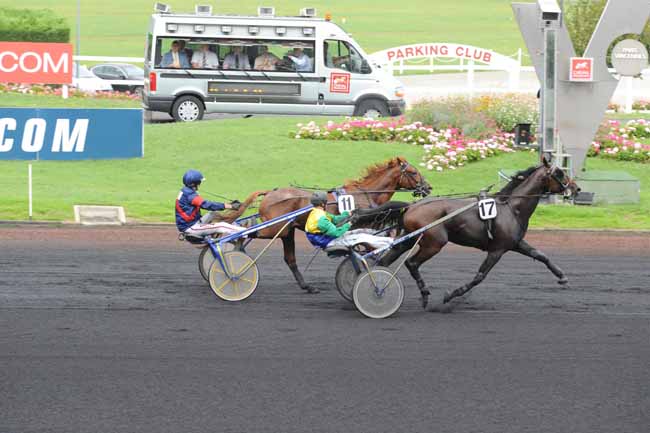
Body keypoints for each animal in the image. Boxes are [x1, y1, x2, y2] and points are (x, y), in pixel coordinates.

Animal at [256, 157, 428, 292]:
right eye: (413, 172)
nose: (428, 187)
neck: (366, 194)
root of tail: (269, 193)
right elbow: (370, 251)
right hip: (275, 229)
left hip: (287, 232)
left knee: (290, 259)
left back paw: (307, 286)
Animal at [378, 159, 580, 308]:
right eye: (559, 173)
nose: (576, 188)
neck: (511, 208)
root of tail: (411, 206)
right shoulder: (497, 250)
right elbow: (479, 276)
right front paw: (452, 295)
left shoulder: (515, 243)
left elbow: (540, 255)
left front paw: (562, 277)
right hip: (433, 243)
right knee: (412, 263)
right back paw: (424, 294)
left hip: (407, 240)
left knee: (383, 261)